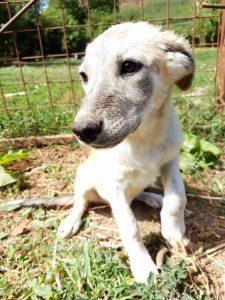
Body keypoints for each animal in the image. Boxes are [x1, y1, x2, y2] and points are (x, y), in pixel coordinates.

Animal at [59, 22, 194, 282]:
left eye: (129, 66)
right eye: (84, 76)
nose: (81, 130)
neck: (143, 139)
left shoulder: (171, 159)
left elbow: (177, 197)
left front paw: (173, 229)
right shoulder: (114, 185)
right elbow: (130, 227)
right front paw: (143, 266)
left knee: (138, 193)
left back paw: (153, 198)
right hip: (83, 175)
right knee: (81, 201)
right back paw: (70, 221)